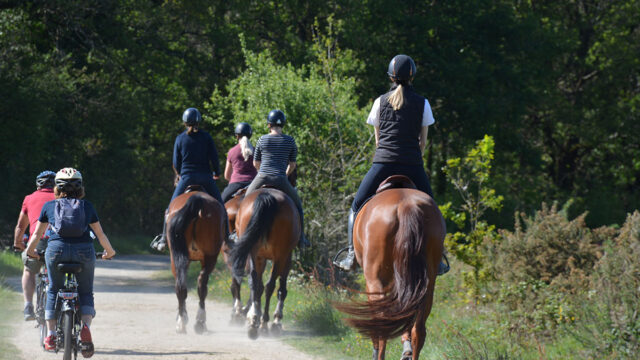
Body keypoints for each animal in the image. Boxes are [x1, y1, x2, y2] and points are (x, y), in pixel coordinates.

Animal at [166, 190, 226, 334]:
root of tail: (198, 201)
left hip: (178, 258)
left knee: (183, 287)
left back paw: (183, 322)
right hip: (209, 257)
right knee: (201, 285)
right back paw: (199, 322)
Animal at [229, 187, 302, 338]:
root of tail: (267, 197)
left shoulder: (260, 258)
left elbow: (258, 286)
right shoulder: (286, 258)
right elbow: (281, 289)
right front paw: (276, 320)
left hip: (253, 252)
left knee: (254, 282)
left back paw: (253, 320)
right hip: (280, 256)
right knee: (271, 286)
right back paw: (263, 323)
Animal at [336, 180, 444, 360]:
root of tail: (407, 205)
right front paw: (406, 349)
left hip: (375, 280)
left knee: (383, 322)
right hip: (427, 285)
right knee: (419, 329)